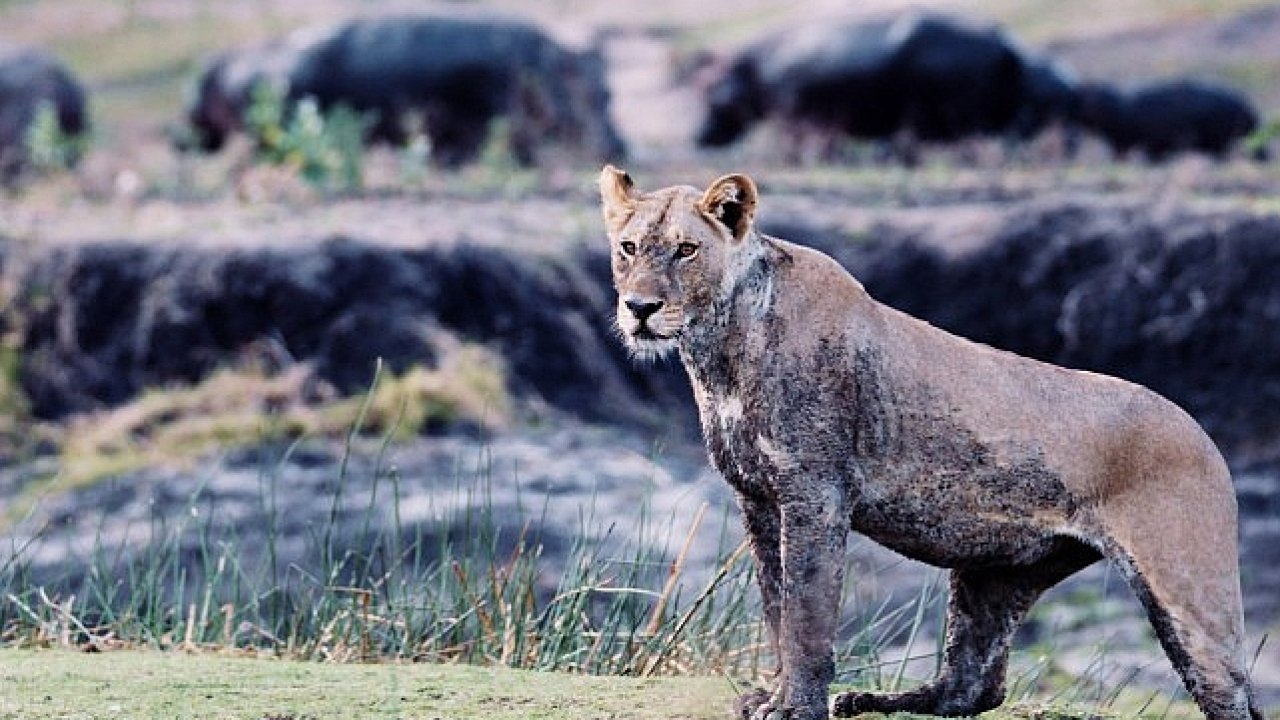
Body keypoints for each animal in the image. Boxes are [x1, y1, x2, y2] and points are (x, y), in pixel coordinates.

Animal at [599, 163, 1259, 717]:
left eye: (686, 250)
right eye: (628, 248)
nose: (640, 307)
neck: (720, 354)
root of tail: (1204, 434)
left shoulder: (815, 494)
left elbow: (807, 612)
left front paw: (796, 706)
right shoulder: (758, 500)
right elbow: (776, 606)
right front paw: (777, 693)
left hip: (1185, 591)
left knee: (1233, 697)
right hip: (994, 575)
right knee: (972, 689)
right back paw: (870, 700)